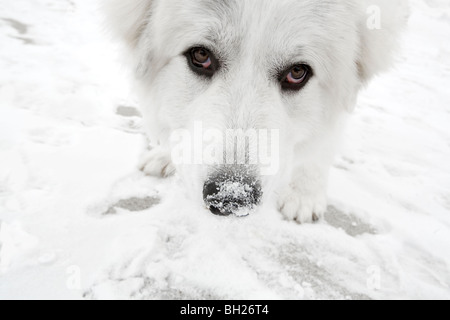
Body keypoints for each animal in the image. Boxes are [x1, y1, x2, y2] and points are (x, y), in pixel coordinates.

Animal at [104, 0, 408, 222]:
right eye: (201, 56)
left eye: (297, 73)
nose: (231, 197)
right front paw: (166, 154)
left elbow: (324, 142)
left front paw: (304, 194)